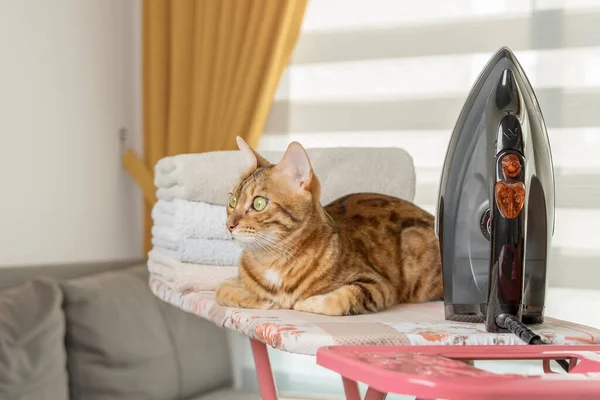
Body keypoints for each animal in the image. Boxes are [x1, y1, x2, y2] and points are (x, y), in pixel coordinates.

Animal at [214, 138, 440, 316]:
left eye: (259, 203)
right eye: (232, 201)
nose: (229, 224)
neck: (272, 259)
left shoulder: (378, 285)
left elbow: (343, 298)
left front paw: (304, 302)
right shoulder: (233, 281)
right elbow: (221, 290)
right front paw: (263, 300)